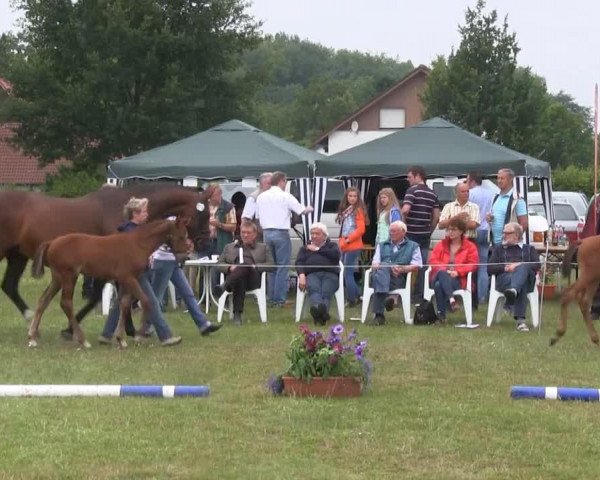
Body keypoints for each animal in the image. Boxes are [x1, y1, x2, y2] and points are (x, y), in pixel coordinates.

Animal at [0, 182, 211, 332]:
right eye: (205, 215)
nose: (203, 242)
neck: (119, 209)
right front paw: (129, 329)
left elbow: (98, 296)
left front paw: (71, 327)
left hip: (17, 255)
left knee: (9, 286)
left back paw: (30, 318)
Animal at [29, 218, 190, 348]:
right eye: (182, 235)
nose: (187, 254)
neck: (137, 243)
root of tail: (51, 242)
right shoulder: (129, 278)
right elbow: (146, 301)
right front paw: (139, 335)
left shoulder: (126, 280)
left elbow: (124, 304)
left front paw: (121, 339)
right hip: (69, 276)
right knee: (66, 303)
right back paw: (83, 340)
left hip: (57, 278)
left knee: (44, 300)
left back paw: (32, 337)